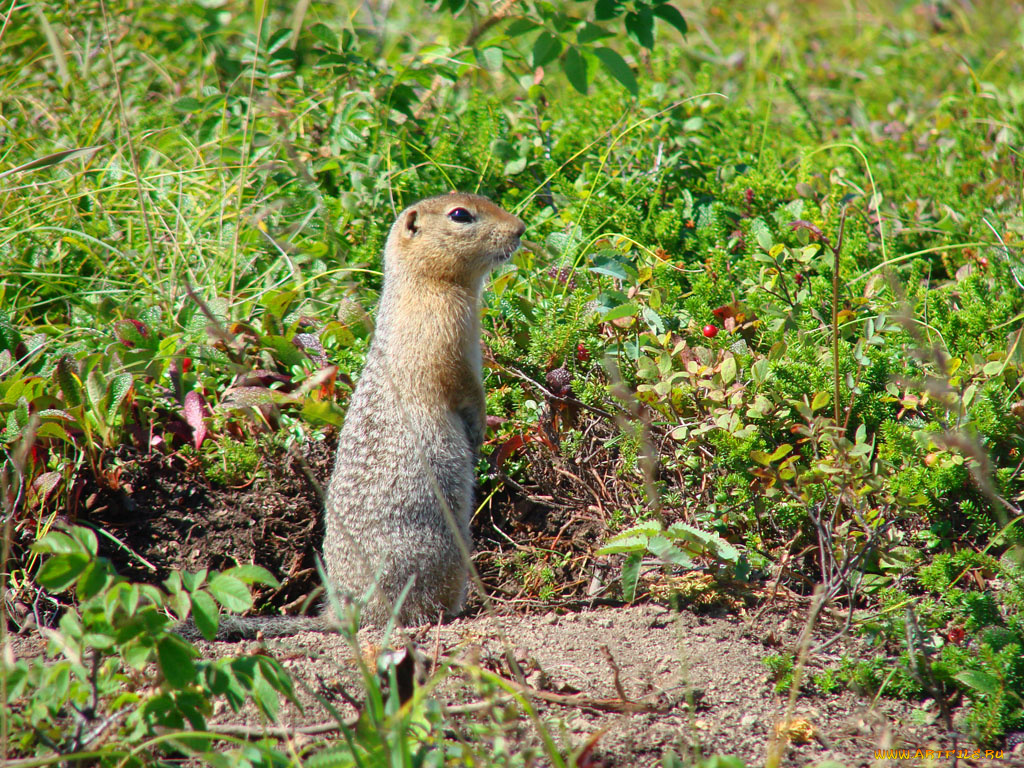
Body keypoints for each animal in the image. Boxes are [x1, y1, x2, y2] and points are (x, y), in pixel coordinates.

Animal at [179, 193, 524, 643]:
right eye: (460, 215)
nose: (520, 230)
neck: (427, 285)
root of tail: (339, 613)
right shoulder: (445, 339)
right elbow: (463, 388)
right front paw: (479, 430)